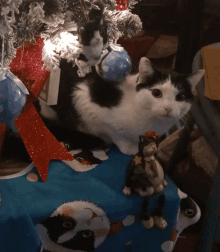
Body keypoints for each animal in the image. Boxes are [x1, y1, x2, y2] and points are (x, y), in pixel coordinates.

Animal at [38, 57, 205, 156]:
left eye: (180, 97)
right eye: (156, 93)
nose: (169, 108)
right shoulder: (85, 99)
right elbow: (115, 134)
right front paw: (130, 148)